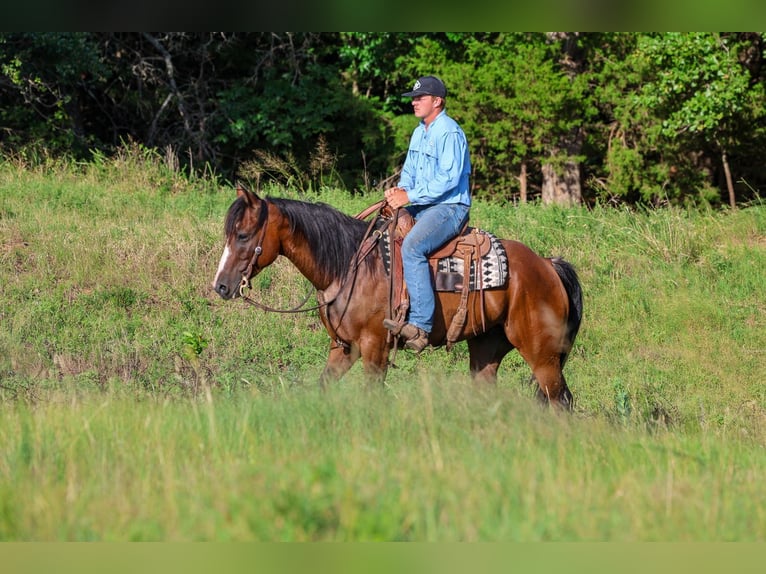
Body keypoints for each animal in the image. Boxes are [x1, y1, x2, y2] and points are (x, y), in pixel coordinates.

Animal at [212, 186, 583, 409]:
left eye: (242, 234)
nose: (221, 286)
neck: (349, 267)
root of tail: (547, 265)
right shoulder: (343, 347)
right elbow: (324, 386)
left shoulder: (374, 346)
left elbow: (372, 396)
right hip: (486, 348)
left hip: (542, 354)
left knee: (560, 400)